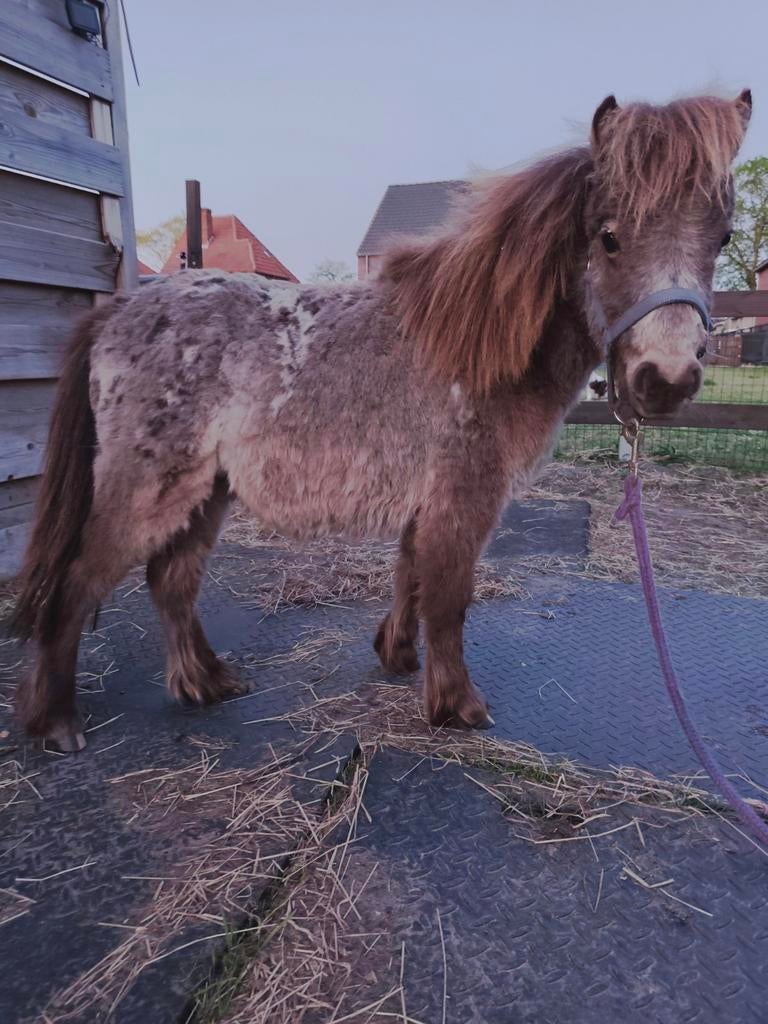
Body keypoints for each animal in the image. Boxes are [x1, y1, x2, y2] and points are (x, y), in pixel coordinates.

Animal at [12, 91, 751, 751]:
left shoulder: (431, 497)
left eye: (721, 238)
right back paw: (56, 722)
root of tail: (120, 309)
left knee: (172, 581)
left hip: (208, 490)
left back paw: (205, 682)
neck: (475, 342)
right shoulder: (464, 494)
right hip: (151, 489)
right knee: (77, 582)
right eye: (610, 236)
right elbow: (448, 596)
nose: (667, 380)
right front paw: (457, 704)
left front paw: (397, 655)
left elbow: (410, 575)